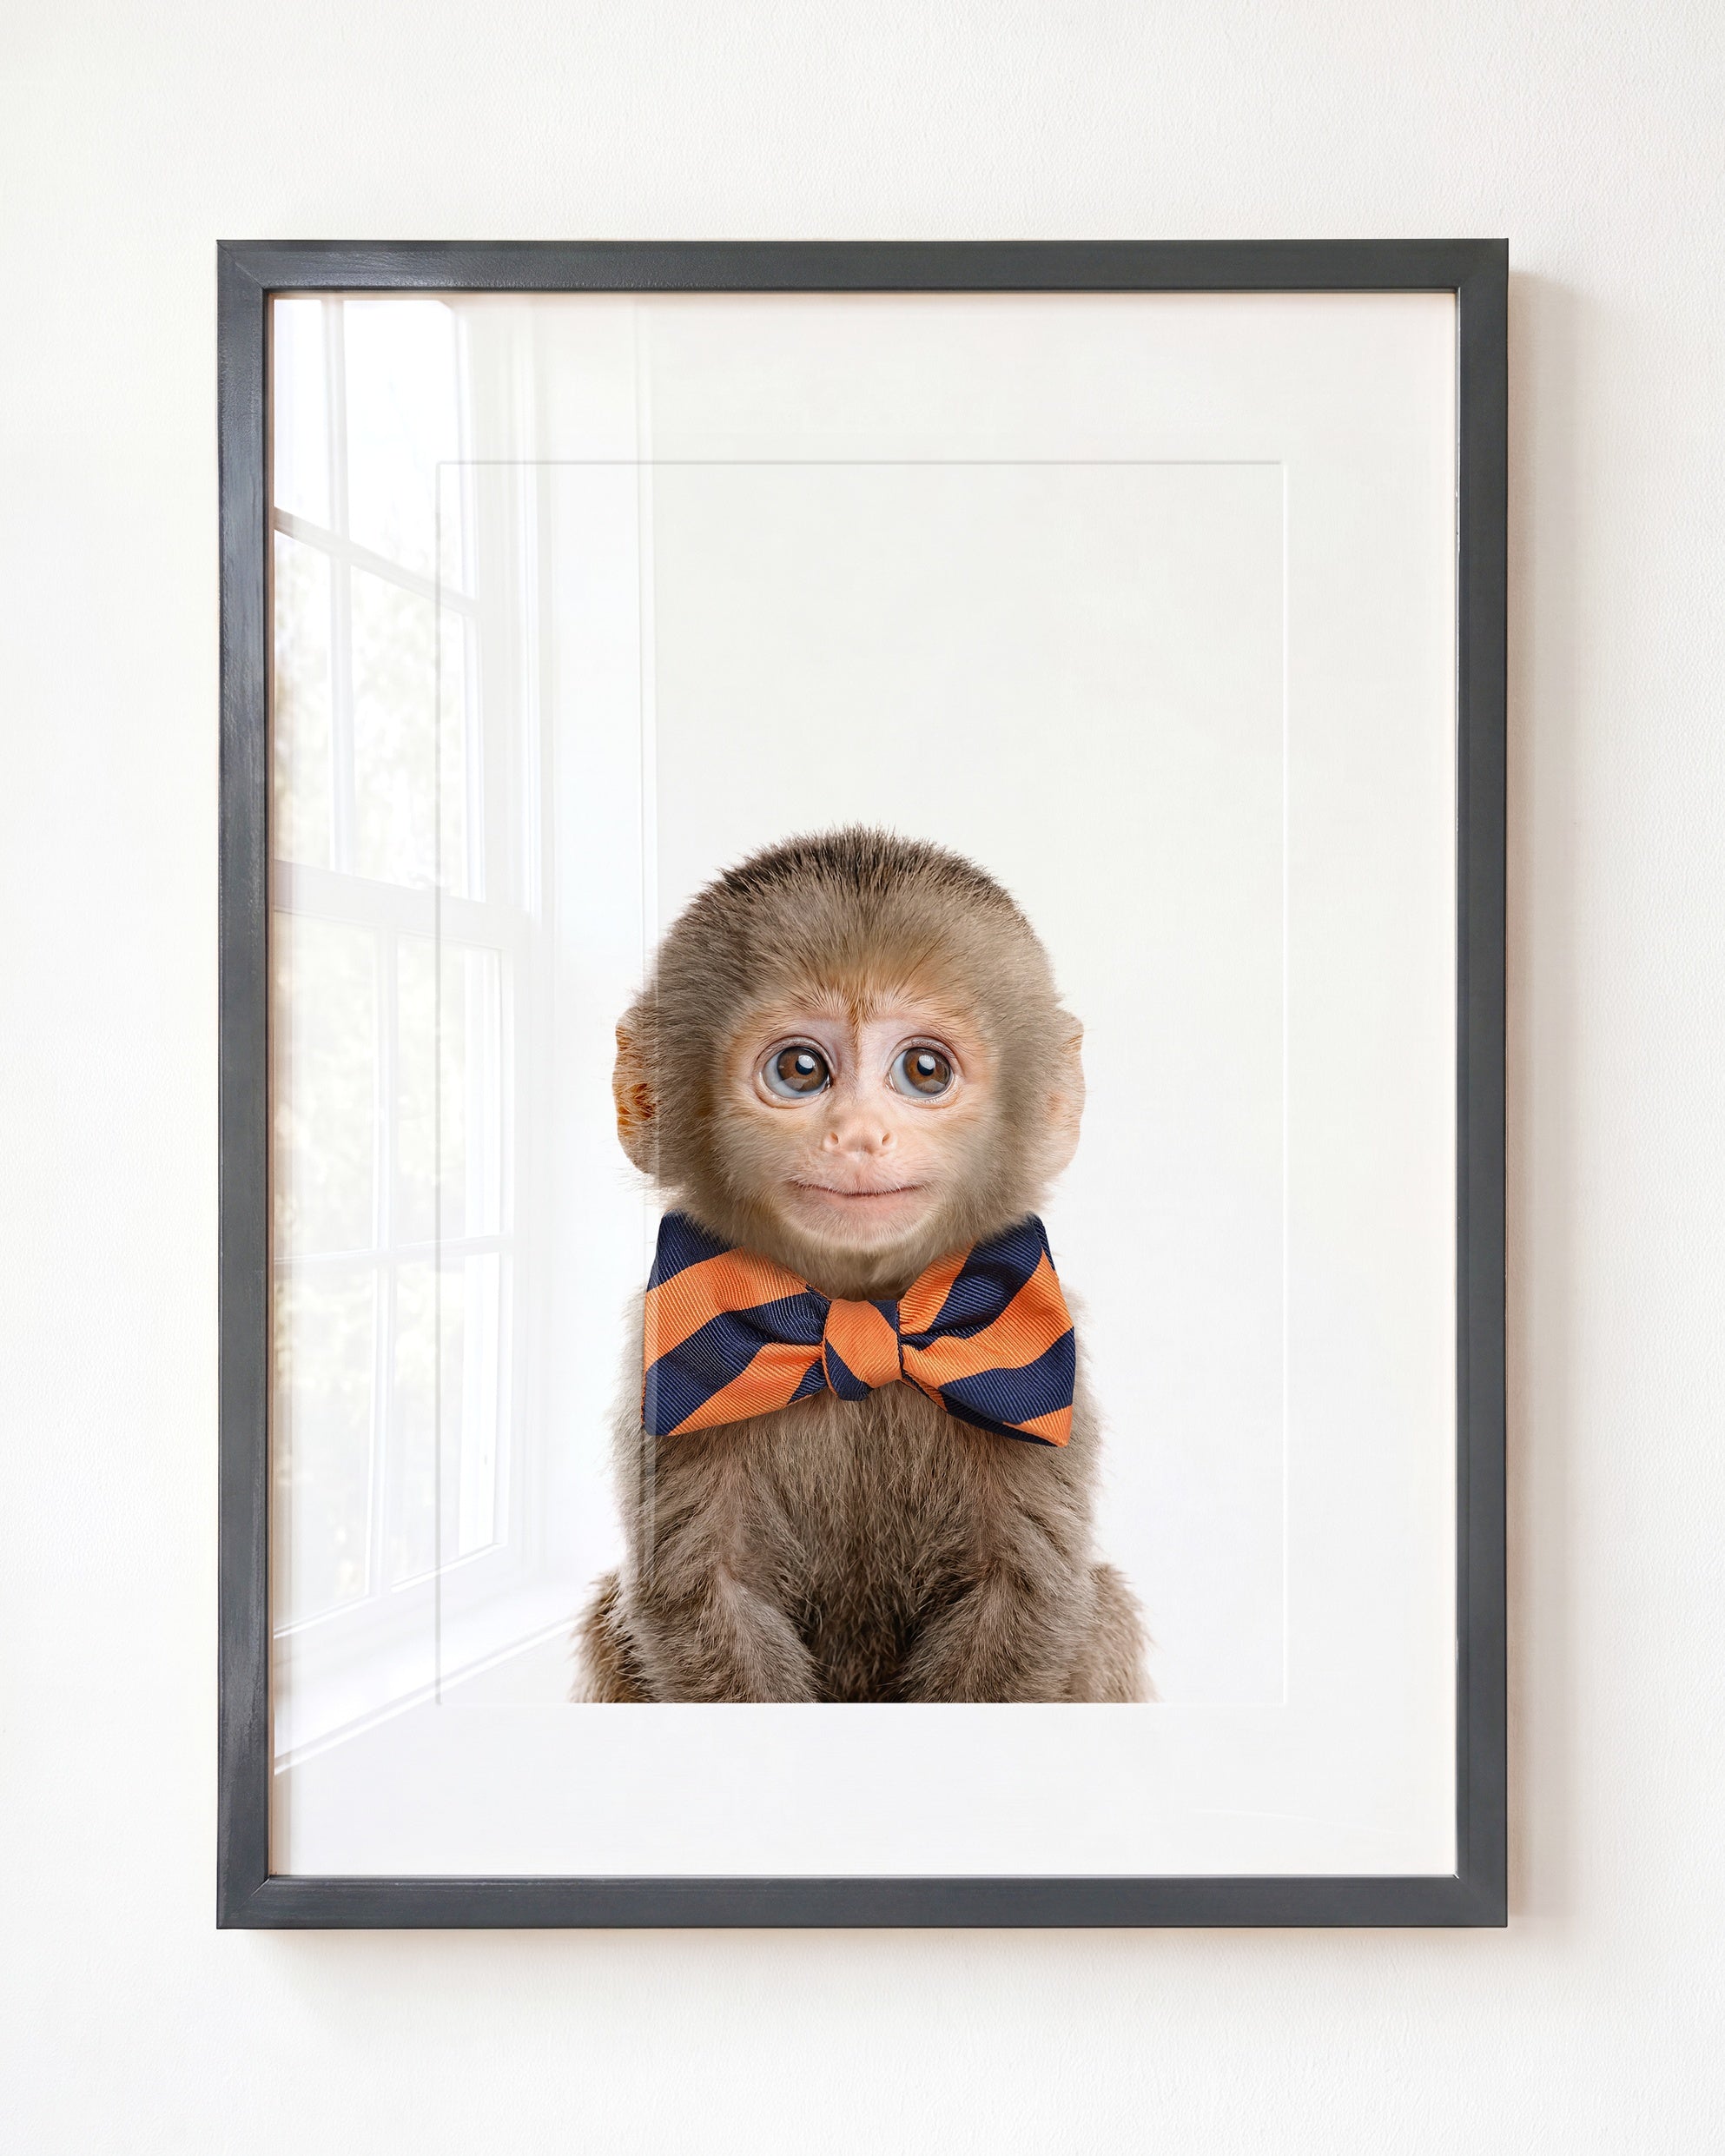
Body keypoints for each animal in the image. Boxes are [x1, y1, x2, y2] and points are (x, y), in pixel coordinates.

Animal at [573, 827, 1147, 1703]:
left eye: (924, 1070)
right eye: (801, 1069)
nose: (858, 1136)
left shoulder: (1048, 1371)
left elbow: (1023, 1596)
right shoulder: (669, 1369)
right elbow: (703, 1597)